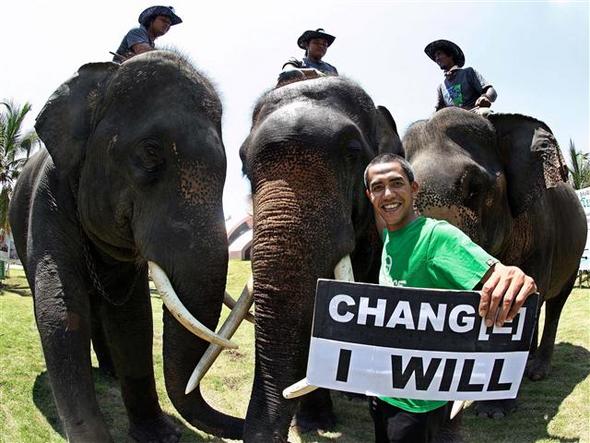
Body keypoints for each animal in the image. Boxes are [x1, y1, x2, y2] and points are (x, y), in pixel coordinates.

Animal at [7, 51, 243, 440]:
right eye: (150, 152)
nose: (245, 422)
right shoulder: (48, 201)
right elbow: (61, 309)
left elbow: (133, 319)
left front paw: (160, 434)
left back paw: (110, 373)